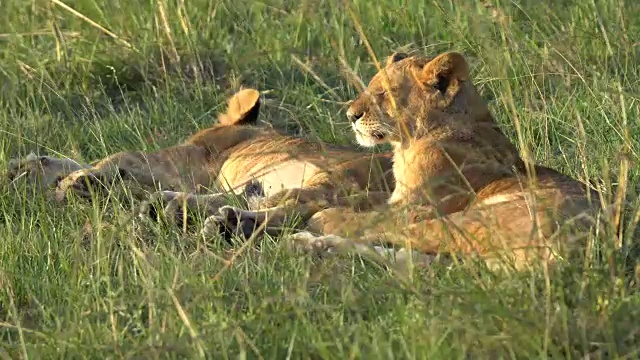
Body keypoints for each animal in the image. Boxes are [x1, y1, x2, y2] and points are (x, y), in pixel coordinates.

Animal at [8, 88, 396, 228]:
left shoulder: (176, 161)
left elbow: (116, 156)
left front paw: (71, 181)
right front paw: (30, 168)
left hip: (331, 177)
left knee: (300, 207)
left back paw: (226, 223)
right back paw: (175, 210)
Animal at [218, 50, 604, 270]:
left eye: (385, 94)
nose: (351, 115)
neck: (409, 143)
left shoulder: (416, 205)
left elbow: (365, 214)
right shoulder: (396, 195)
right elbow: (359, 199)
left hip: (476, 218)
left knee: (395, 238)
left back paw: (313, 235)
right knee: (425, 263)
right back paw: (310, 245)